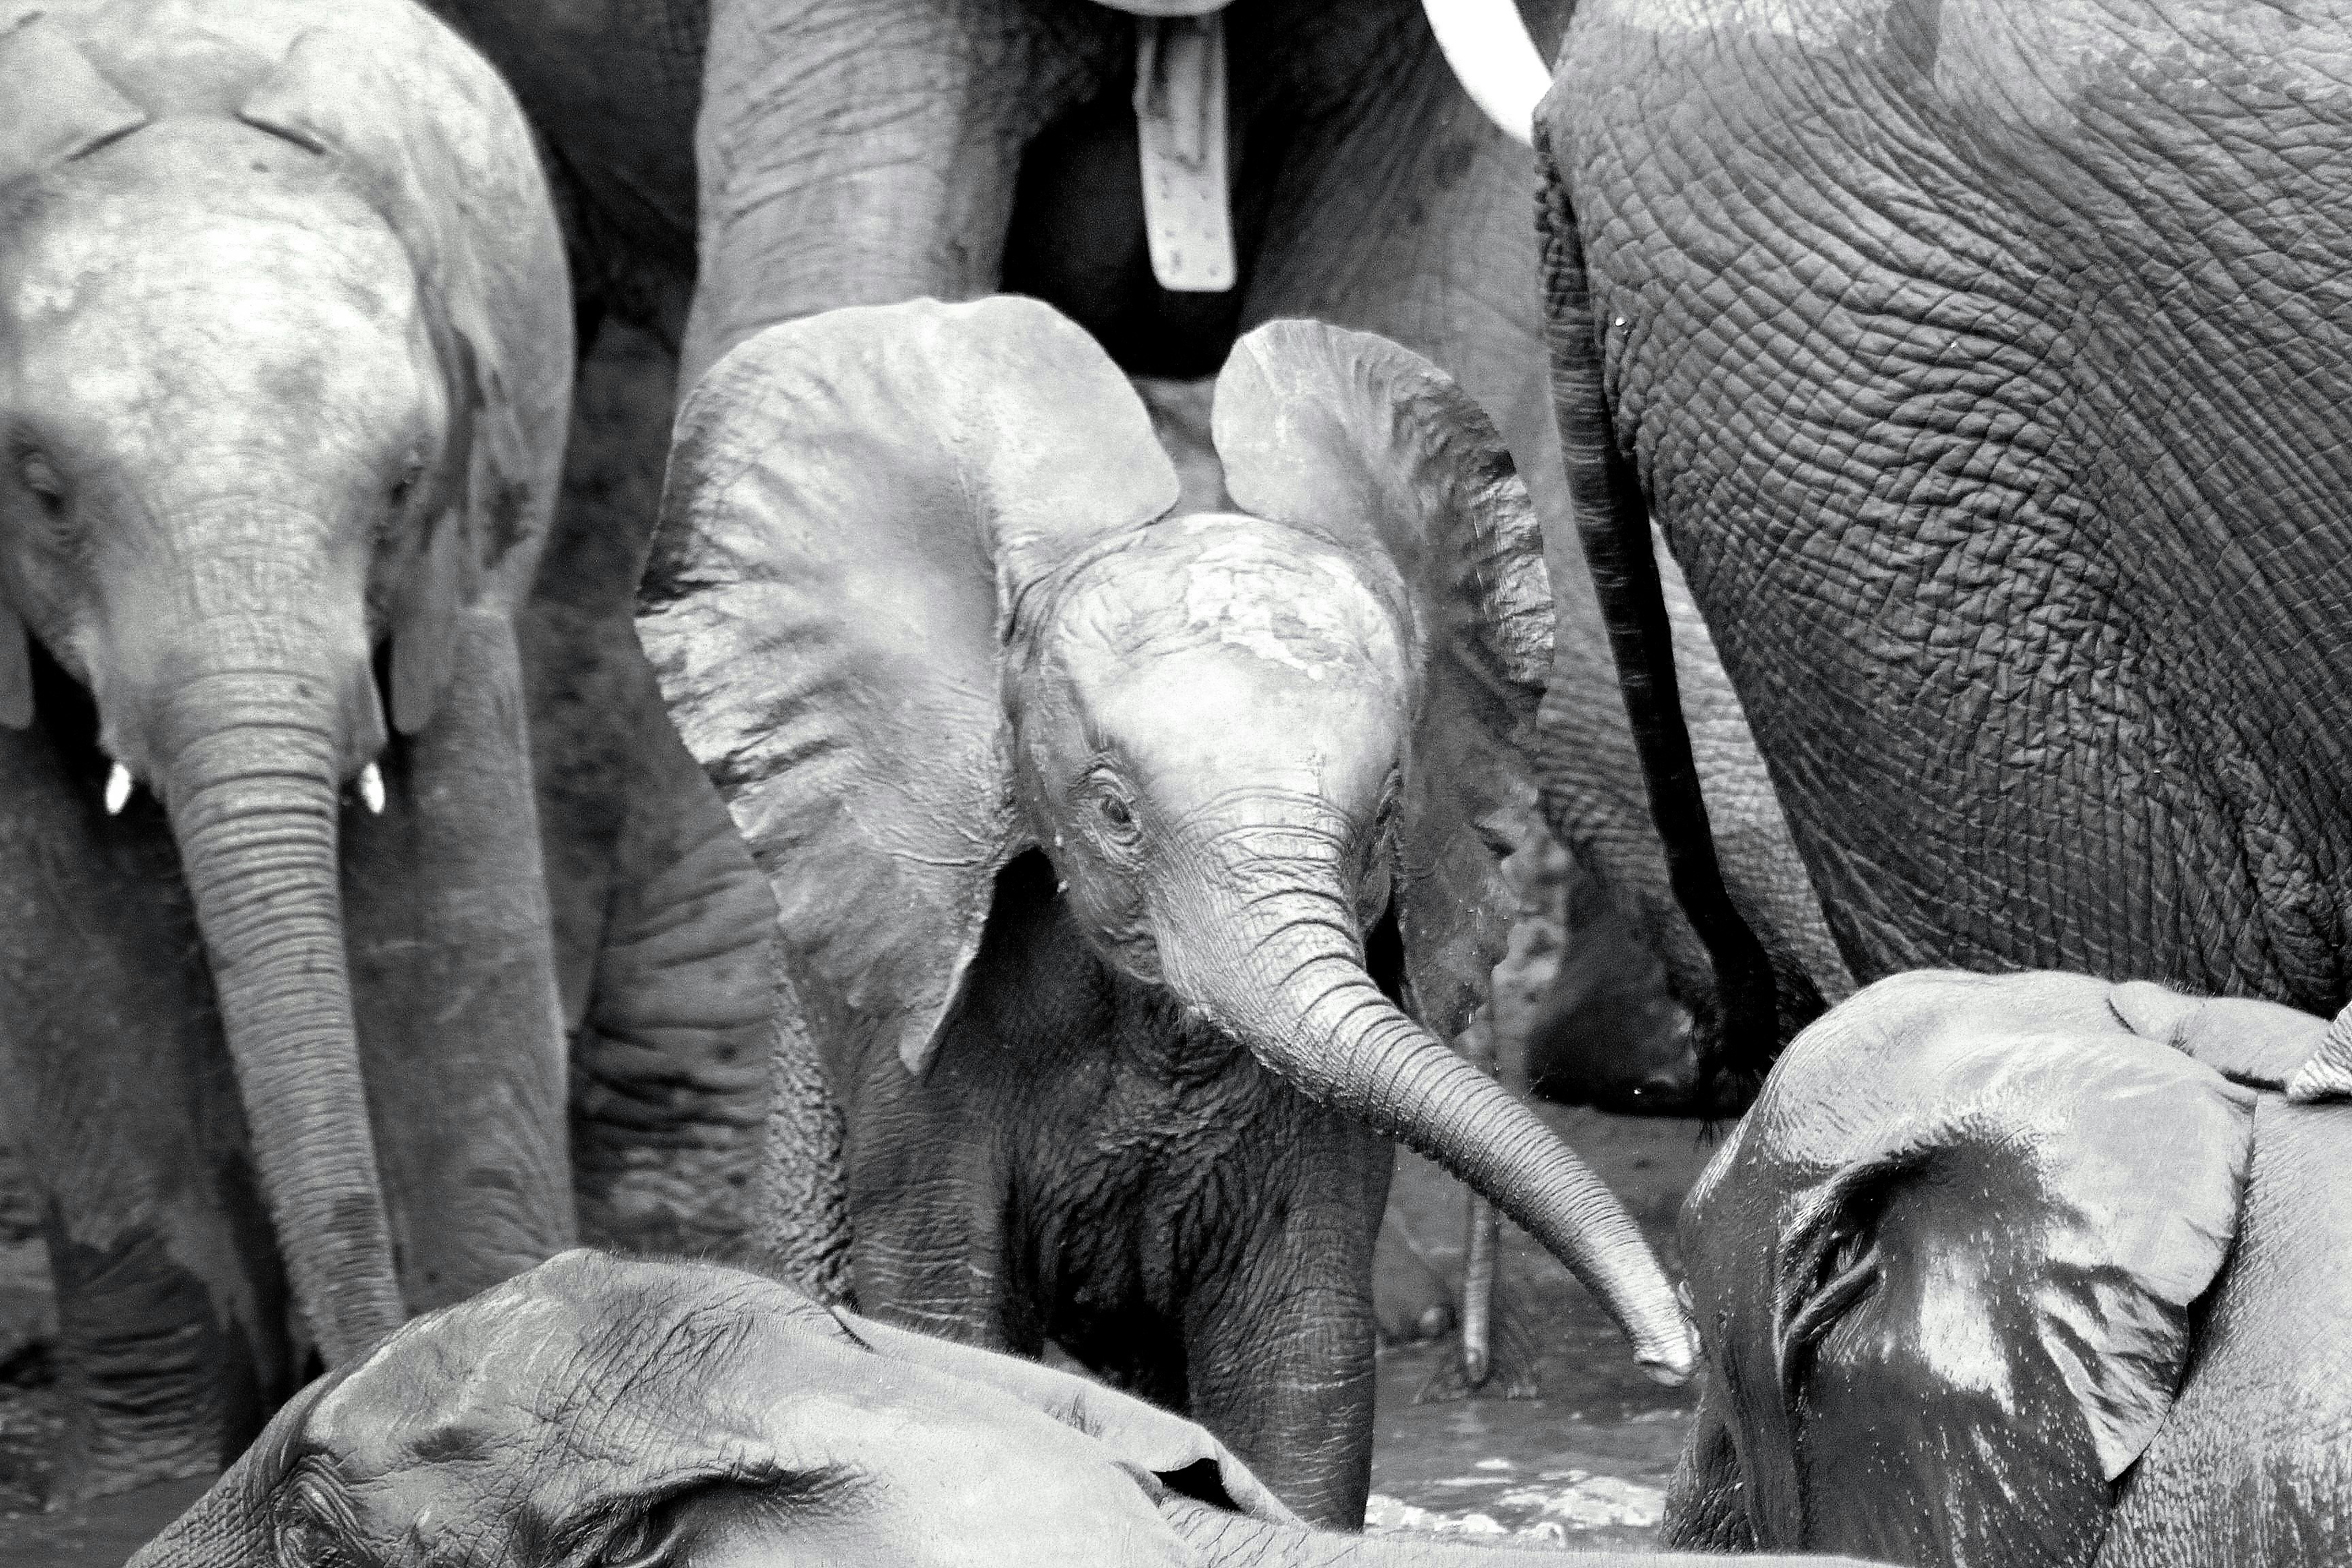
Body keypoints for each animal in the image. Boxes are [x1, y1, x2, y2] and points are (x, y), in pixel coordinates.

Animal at [0, 0, 804, 1502]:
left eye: (398, 485)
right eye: (43, 487)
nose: (336, 1402)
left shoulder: (458, 560)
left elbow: (446, 906)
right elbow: (66, 951)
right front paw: (145, 1491)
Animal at [633, 294, 1696, 1525]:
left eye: (1387, 812)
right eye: (1113, 812)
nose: (1674, 1352)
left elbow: (1297, 1363)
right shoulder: (929, 1034)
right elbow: (948, 1316)